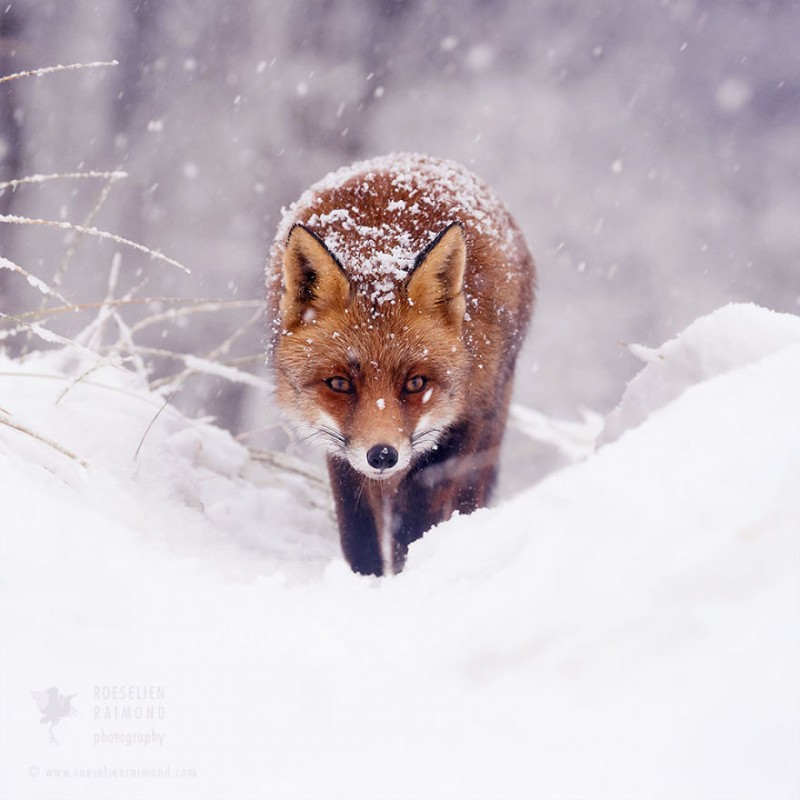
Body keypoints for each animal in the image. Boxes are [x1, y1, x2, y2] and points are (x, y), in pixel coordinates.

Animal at [266, 152, 536, 576]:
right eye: (339, 383)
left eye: (415, 383)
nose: (383, 455)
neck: (380, 245)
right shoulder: (341, 449)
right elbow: (358, 530)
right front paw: (367, 579)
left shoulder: (461, 423)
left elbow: (416, 521)